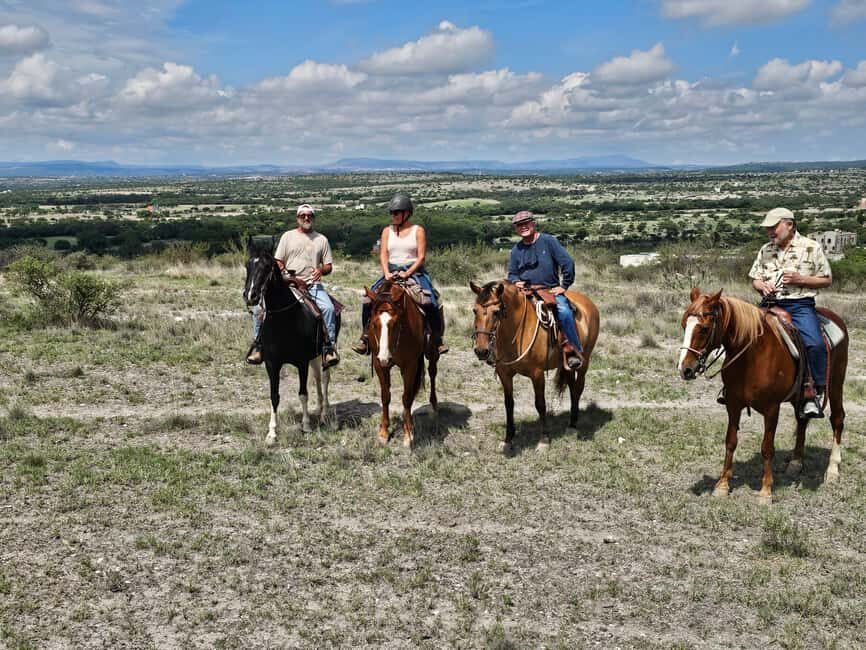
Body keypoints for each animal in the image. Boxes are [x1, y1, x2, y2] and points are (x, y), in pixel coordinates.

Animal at [243, 240, 335, 444]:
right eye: (247, 265)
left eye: (267, 266)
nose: (251, 295)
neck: (284, 320)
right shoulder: (272, 364)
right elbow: (274, 396)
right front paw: (272, 433)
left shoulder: (301, 362)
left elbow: (303, 394)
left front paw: (306, 426)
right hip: (314, 356)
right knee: (317, 379)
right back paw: (319, 411)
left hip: (323, 355)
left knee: (324, 380)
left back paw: (324, 415)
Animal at [363, 279, 439, 447]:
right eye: (373, 324)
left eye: (396, 324)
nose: (385, 358)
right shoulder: (379, 364)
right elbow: (385, 396)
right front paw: (384, 432)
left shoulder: (410, 364)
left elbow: (406, 397)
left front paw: (408, 434)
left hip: (432, 354)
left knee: (432, 373)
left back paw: (434, 407)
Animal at [470, 280, 599, 454]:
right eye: (474, 310)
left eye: (496, 312)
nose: (481, 351)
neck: (517, 332)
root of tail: (588, 303)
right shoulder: (505, 374)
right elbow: (509, 404)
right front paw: (508, 440)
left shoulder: (537, 374)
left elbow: (540, 404)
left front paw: (544, 440)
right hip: (567, 365)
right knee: (572, 388)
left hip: (584, 361)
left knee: (578, 388)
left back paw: (573, 426)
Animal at [678, 288, 848, 503]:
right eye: (684, 325)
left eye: (704, 329)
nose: (685, 369)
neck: (752, 355)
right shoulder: (733, 405)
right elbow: (730, 442)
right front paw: (722, 485)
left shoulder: (771, 409)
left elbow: (767, 448)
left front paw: (766, 491)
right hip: (799, 396)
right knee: (802, 420)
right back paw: (795, 463)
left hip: (836, 384)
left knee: (837, 419)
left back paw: (833, 470)